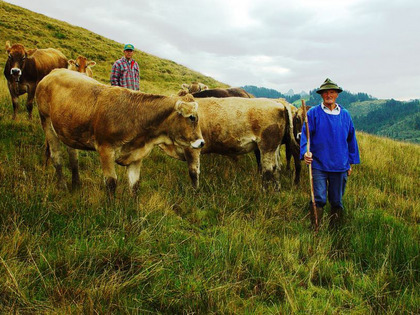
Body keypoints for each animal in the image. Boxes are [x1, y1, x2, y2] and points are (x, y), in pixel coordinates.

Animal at [37, 69, 204, 195]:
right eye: (192, 117)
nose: (202, 142)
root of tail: (54, 72)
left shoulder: (136, 157)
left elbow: (134, 186)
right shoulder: (105, 150)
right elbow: (111, 183)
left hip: (68, 131)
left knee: (73, 157)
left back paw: (76, 183)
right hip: (47, 122)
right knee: (56, 157)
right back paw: (63, 186)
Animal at [159, 97, 300, 189]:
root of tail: (277, 101)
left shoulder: (192, 148)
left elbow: (194, 173)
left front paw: (195, 192)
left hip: (266, 146)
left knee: (268, 170)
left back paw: (264, 192)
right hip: (274, 147)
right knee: (277, 168)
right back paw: (276, 190)